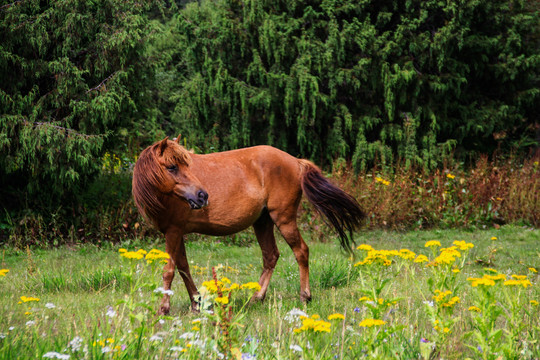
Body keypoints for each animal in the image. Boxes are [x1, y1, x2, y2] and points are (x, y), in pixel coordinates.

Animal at [132, 136, 364, 314]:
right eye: (172, 167)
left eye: (186, 165)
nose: (202, 196)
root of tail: (296, 162)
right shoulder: (175, 232)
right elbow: (183, 267)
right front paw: (197, 303)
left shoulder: (173, 232)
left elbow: (169, 270)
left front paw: (164, 308)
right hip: (262, 222)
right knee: (271, 256)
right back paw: (256, 297)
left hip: (284, 219)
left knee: (301, 251)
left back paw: (304, 296)